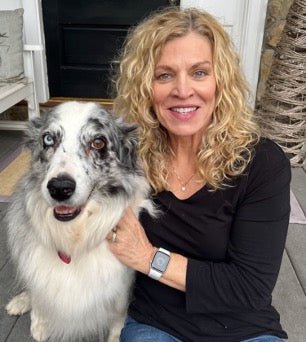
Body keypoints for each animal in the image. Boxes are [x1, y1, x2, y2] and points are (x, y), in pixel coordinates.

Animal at [4, 101, 153, 342]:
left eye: (98, 142)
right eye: (48, 139)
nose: (60, 188)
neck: (73, 235)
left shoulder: (121, 281)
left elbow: (118, 314)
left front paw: (116, 336)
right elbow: (38, 294)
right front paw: (39, 322)